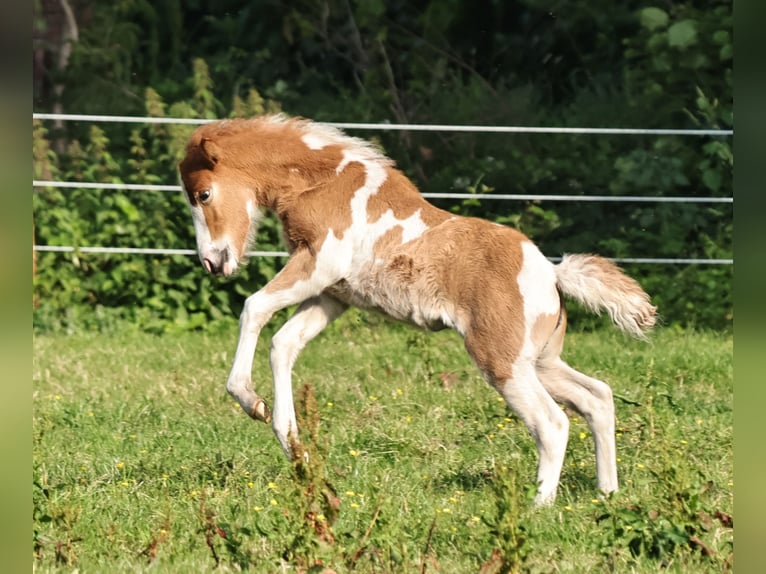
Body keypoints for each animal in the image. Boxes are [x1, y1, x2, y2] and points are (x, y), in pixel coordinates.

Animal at [178, 114, 656, 505]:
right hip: (539, 361)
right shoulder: (332, 294)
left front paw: (247, 397)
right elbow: (284, 343)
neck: (325, 181)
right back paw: (607, 492)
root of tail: (552, 274)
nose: (213, 262)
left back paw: (539, 506)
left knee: (553, 423)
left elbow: (254, 308)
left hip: (502, 361)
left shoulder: (319, 263)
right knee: (597, 398)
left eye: (203, 194)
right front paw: (290, 441)